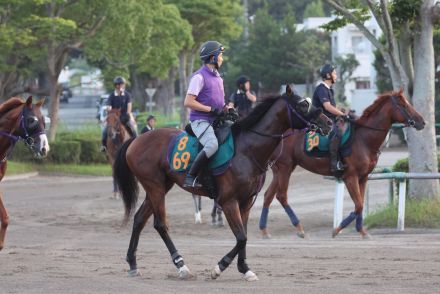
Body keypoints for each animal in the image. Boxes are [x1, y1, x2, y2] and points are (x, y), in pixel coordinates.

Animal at [111, 93, 332, 280]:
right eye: (303, 104)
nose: (328, 122)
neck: (247, 150)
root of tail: (136, 139)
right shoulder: (228, 202)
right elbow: (241, 237)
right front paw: (220, 267)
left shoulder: (246, 202)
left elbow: (243, 235)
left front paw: (245, 268)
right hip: (155, 186)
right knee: (160, 224)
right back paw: (181, 265)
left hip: (161, 186)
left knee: (139, 219)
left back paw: (133, 264)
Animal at [260, 89, 424, 239]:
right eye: (404, 105)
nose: (422, 122)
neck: (363, 139)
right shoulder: (350, 177)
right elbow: (359, 205)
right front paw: (337, 229)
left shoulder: (363, 177)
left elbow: (360, 204)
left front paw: (362, 231)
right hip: (285, 167)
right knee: (281, 196)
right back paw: (299, 228)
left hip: (281, 169)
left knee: (268, 195)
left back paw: (264, 230)